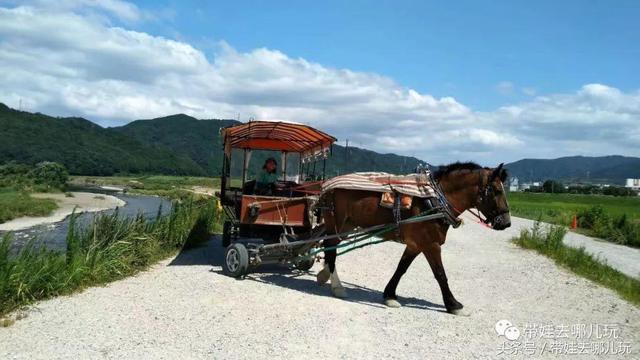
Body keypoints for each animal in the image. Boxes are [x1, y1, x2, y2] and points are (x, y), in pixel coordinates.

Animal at [316, 162, 510, 314]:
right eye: (496, 190)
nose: (507, 223)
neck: (435, 200)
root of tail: (327, 185)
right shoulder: (431, 245)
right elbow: (440, 274)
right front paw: (453, 304)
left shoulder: (416, 244)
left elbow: (401, 268)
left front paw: (390, 295)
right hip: (336, 222)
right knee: (331, 249)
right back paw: (337, 286)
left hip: (346, 226)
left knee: (328, 246)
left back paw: (324, 274)